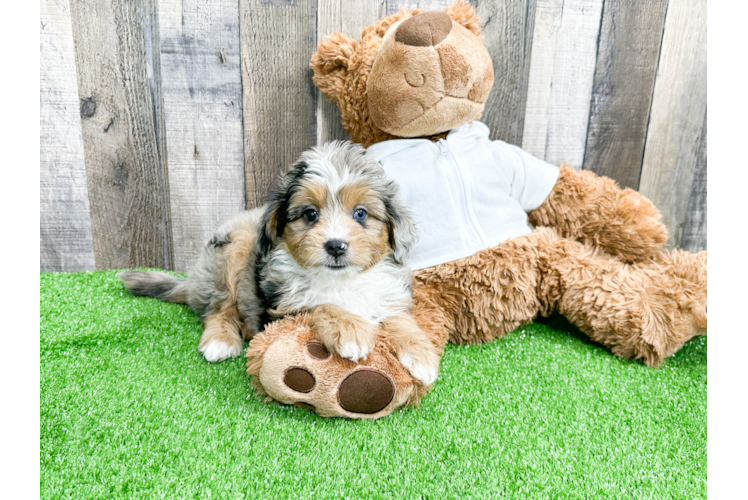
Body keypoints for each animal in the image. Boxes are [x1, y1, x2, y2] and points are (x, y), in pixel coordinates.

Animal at [120, 143, 442, 384]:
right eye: (310, 214)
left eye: (361, 214)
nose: (335, 245)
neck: (341, 280)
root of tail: (194, 280)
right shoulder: (282, 309)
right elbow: (320, 304)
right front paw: (350, 329)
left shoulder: (388, 294)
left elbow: (401, 318)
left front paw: (421, 355)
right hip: (233, 248)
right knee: (218, 308)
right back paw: (220, 341)